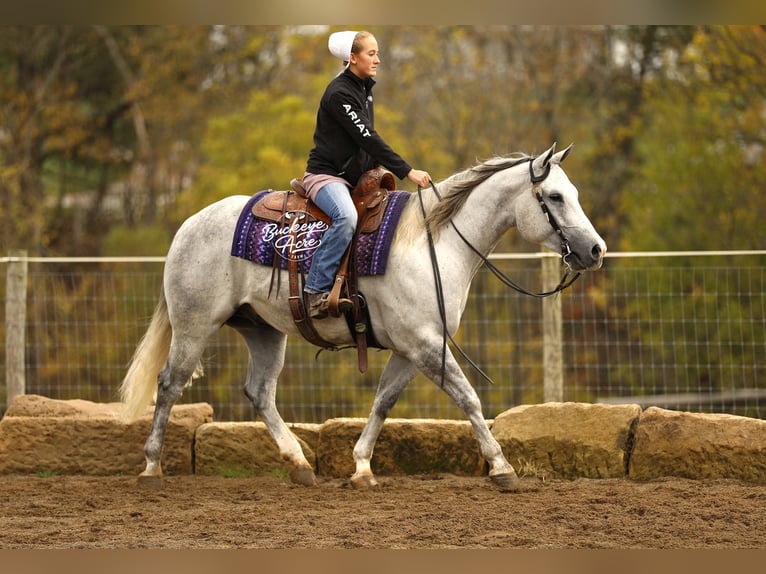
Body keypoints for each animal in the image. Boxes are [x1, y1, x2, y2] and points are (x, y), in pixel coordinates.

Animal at [120, 142, 606, 489]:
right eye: (555, 196)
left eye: (575, 194)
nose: (596, 250)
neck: (433, 241)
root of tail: (188, 225)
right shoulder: (425, 344)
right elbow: (469, 399)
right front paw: (502, 467)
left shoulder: (411, 350)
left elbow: (383, 402)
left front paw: (361, 466)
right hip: (194, 325)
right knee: (169, 384)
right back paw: (151, 466)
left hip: (264, 331)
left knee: (259, 392)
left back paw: (299, 464)